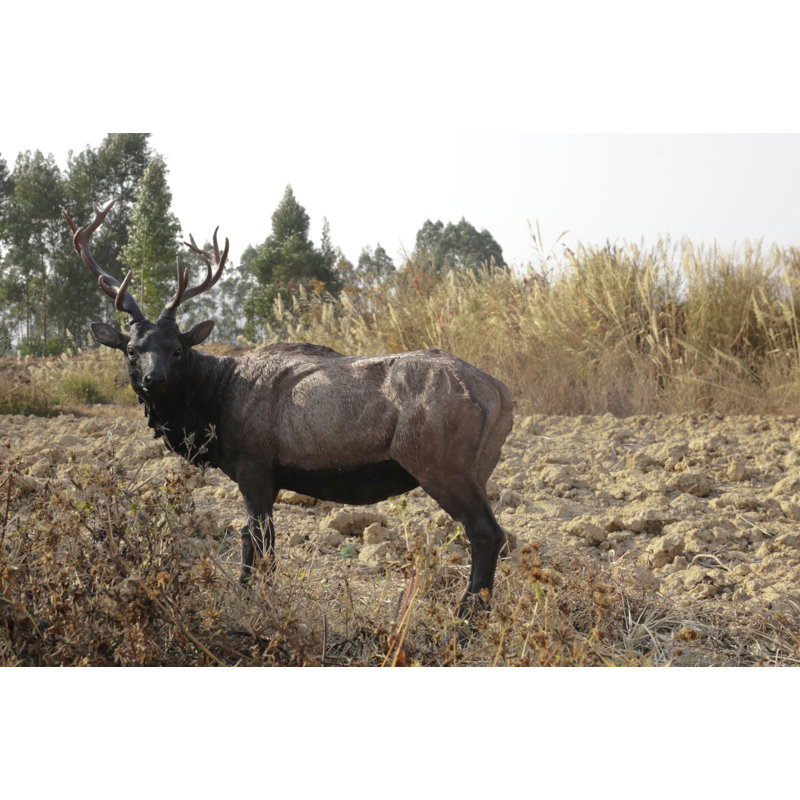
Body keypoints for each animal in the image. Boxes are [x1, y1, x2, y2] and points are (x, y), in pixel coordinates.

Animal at [62, 200, 514, 620]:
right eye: (132, 350)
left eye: (177, 349)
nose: (153, 380)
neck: (212, 408)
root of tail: (502, 395)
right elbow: (265, 540)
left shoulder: (254, 464)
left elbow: (254, 537)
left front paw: (248, 597)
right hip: (476, 468)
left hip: (441, 461)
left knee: (487, 532)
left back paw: (467, 618)